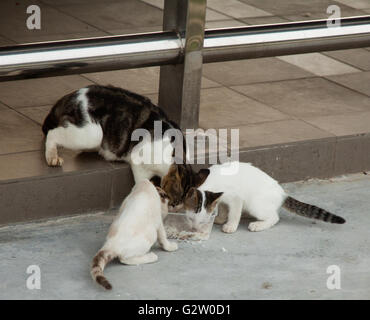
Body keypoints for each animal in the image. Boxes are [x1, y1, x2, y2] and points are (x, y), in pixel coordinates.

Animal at [42, 85, 184, 182]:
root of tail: (70, 96)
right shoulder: (139, 159)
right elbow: (144, 184)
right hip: (91, 134)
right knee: (52, 133)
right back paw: (52, 156)